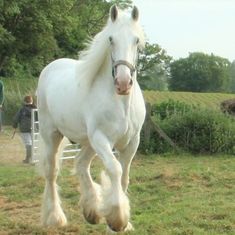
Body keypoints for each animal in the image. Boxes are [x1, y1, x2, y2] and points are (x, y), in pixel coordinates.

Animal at [37, 4, 145, 232]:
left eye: (136, 40)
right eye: (111, 39)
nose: (123, 83)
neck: (121, 103)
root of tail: (51, 67)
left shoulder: (131, 142)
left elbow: (124, 178)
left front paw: (120, 223)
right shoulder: (101, 139)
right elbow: (115, 169)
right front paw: (117, 219)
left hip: (87, 141)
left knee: (80, 163)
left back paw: (92, 211)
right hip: (52, 135)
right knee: (51, 172)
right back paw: (55, 218)